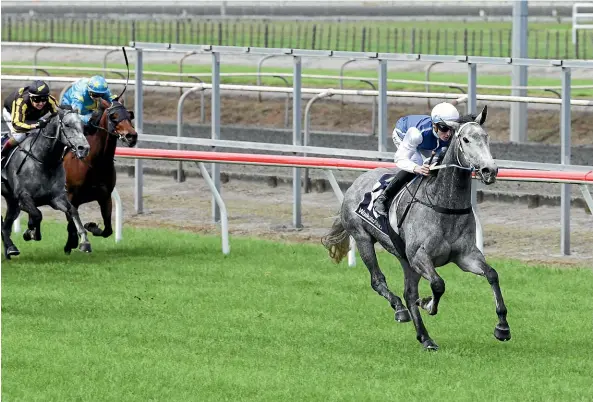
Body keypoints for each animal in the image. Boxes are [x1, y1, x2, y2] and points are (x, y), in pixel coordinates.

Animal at [1, 107, 92, 258]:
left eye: (83, 126)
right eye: (67, 125)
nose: (84, 148)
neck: (44, 160)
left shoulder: (56, 197)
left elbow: (72, 210)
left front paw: (85, 242)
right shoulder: (23, 197)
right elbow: (37, 215)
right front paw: (30, 232)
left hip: (11, 200)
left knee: (6, 226)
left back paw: (11, 248)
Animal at [61, 98, 137, 253]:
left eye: (130, 115)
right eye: (113, 116)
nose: (132, 136)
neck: (95, 162)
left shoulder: (105, 196)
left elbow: (107, 230)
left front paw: (91, 226)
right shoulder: (70, 195)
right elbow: (72, 220)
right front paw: (79, 242)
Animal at [322, 107, 512, 352]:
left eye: (486, 137)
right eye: (466, 139)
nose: (490, 170)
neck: (444, 205)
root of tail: (356, 182)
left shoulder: (466, 256)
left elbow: (492, 275)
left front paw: (502, 326)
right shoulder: (420, 256)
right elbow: (438, 284)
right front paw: (428, 303)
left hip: (405, 258)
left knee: (408, 292)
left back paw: (425, 337)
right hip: (364, 238)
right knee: (378, 281)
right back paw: (400, 310)